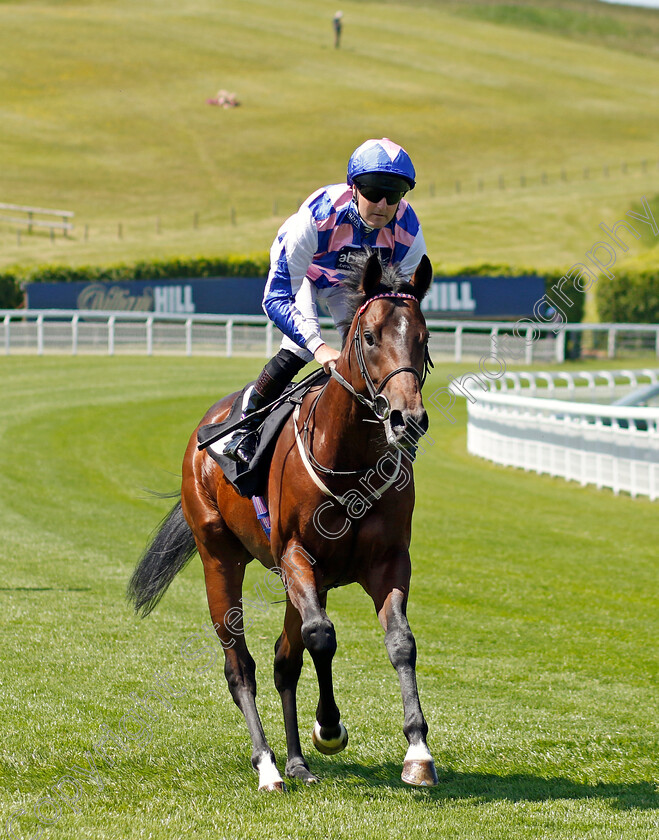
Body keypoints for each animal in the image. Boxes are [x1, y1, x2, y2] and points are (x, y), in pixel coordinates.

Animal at [127, 253, 440, 792]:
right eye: (370, 336)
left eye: (422, 336)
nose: (408, 419)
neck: (349, 461)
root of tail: (203, 433)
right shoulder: (296, 556)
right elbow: (322, 637)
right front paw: (329, 727)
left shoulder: (387, 561)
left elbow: (399, 642)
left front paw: (417, 751)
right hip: (220, 558)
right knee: (241, 666)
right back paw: (269, 765)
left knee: (282, 660)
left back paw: (296, 763)